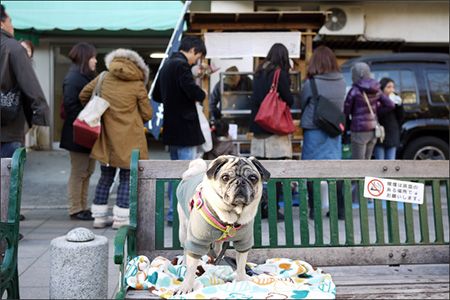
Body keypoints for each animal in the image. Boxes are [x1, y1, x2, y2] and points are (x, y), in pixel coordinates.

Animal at [174, 156, 268, 294]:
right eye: (225, 178)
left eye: (252, 178)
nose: (240, 182)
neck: (230, 219)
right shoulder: (196, 242)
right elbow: (191, 269)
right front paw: (186, 286)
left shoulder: (243, 242)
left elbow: (241, 265)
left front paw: (242, 280)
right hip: (184, 230)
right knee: (186, 249)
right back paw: (185, 264)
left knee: (219, 249)